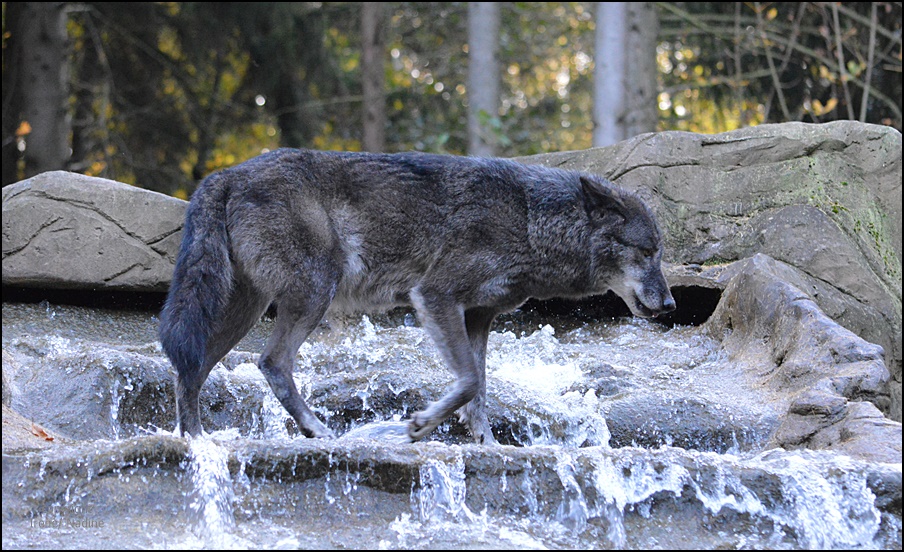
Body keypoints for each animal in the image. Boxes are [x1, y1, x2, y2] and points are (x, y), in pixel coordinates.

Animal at [159, 148, 676, 444]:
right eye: (647, 252)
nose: (671, 305)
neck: (531, 218)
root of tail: (229, 173)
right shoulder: (436, 296)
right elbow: (466, 382)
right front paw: (421, 425)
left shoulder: (479, 318)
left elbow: (480, 390)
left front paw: (487, 445)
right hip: (314, 294)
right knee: (271, 363)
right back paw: (314, 430)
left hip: (244, 310)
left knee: (192, 370)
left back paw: (197, 441)